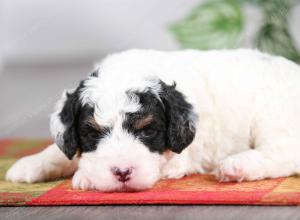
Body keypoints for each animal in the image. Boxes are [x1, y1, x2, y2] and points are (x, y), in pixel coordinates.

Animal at [5, 49, 300, 192]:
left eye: (147, 131)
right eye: (93, 133)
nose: (122, 172)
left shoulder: (179, 157)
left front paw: (84, 177)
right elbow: (62, 150)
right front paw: (31, 164)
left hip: (272, 115)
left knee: (285, 153)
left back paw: (237, 166)